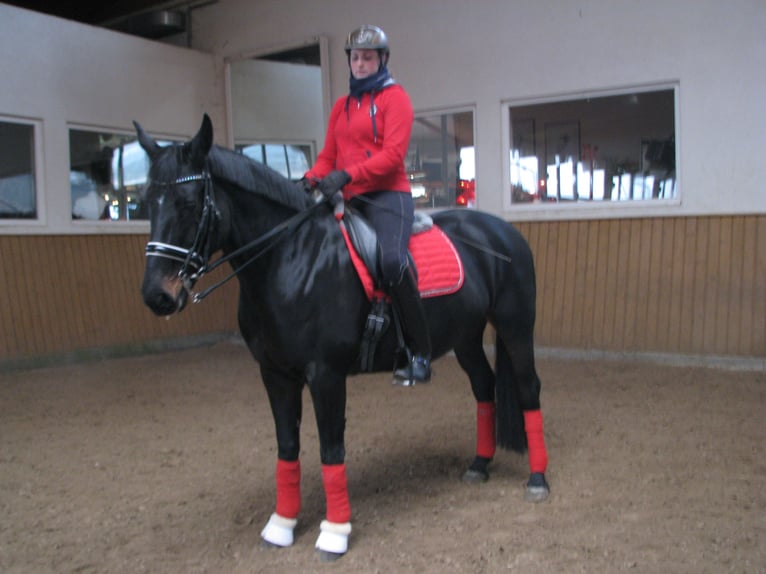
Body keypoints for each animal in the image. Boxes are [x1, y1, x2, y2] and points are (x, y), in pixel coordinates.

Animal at [135, 115, 548, 560]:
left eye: (189, 202)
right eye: (145, 202)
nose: (157, 295)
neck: (290, 258)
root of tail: (504, 232)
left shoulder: (326, 375)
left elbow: (331, 449)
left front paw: (334, 532)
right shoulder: (274, 374)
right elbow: (287, 447)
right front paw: (282, 524)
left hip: (515, 326)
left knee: (528, 388)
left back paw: (537, 479)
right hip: (465, 336)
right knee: (484, 386)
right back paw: (479, 465)